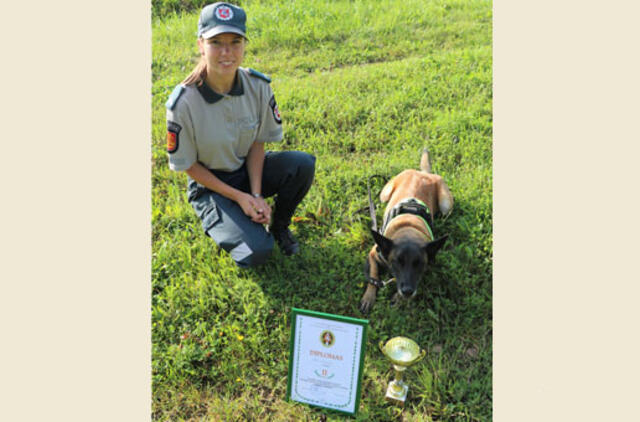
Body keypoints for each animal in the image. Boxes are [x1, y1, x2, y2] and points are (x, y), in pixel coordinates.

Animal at [358, 148, 452, 314]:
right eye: (398, 261)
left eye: (419, 263)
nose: (407, 291)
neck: (408, 229)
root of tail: (423, 173)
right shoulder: (374, 253)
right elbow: (373, 277)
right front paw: (369, 297)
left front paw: (398, 298)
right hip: (384, 194)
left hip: (446, 206)